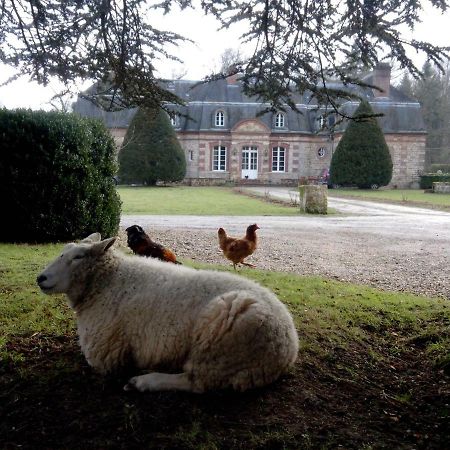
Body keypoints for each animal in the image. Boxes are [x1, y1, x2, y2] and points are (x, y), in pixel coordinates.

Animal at [37, 234, 298, 392]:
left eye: (78, 257)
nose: (41, 278)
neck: (108, 280)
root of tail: (290, 345)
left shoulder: (105, 354)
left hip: (221, 348)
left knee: (196, 382)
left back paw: (144, 381)